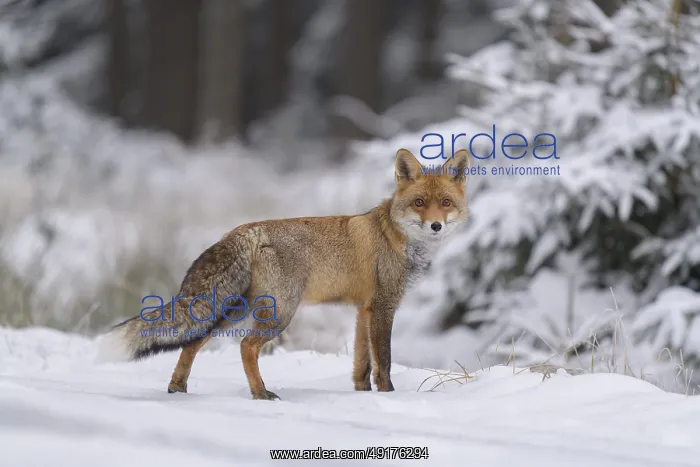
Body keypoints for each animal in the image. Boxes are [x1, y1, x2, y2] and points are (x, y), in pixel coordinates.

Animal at [102, 148, 471, 400]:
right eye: (420, 203)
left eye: (446, 203)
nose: (436, 226)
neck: (398, 239)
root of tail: (244, 230)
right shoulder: (383, 307)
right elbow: (384, 362)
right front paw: (389, 397)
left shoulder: (363, 310)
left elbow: (361, 364)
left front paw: (361, 395)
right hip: (279, 312)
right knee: (246, 347)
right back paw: (259, 393)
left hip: (232, 311)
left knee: (192, 343)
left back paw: (178, 387)